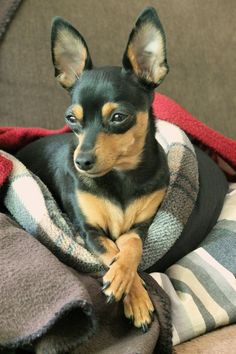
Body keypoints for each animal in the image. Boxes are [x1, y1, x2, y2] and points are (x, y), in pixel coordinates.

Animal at [16, 6, 170, 332]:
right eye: (71, 119)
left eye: (119, 117)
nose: (82, 162)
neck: (121, 176)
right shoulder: (89, 231)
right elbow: (112, 253)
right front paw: (132, 292)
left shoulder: (139, 228)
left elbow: (130, 248)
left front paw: (130, 287)